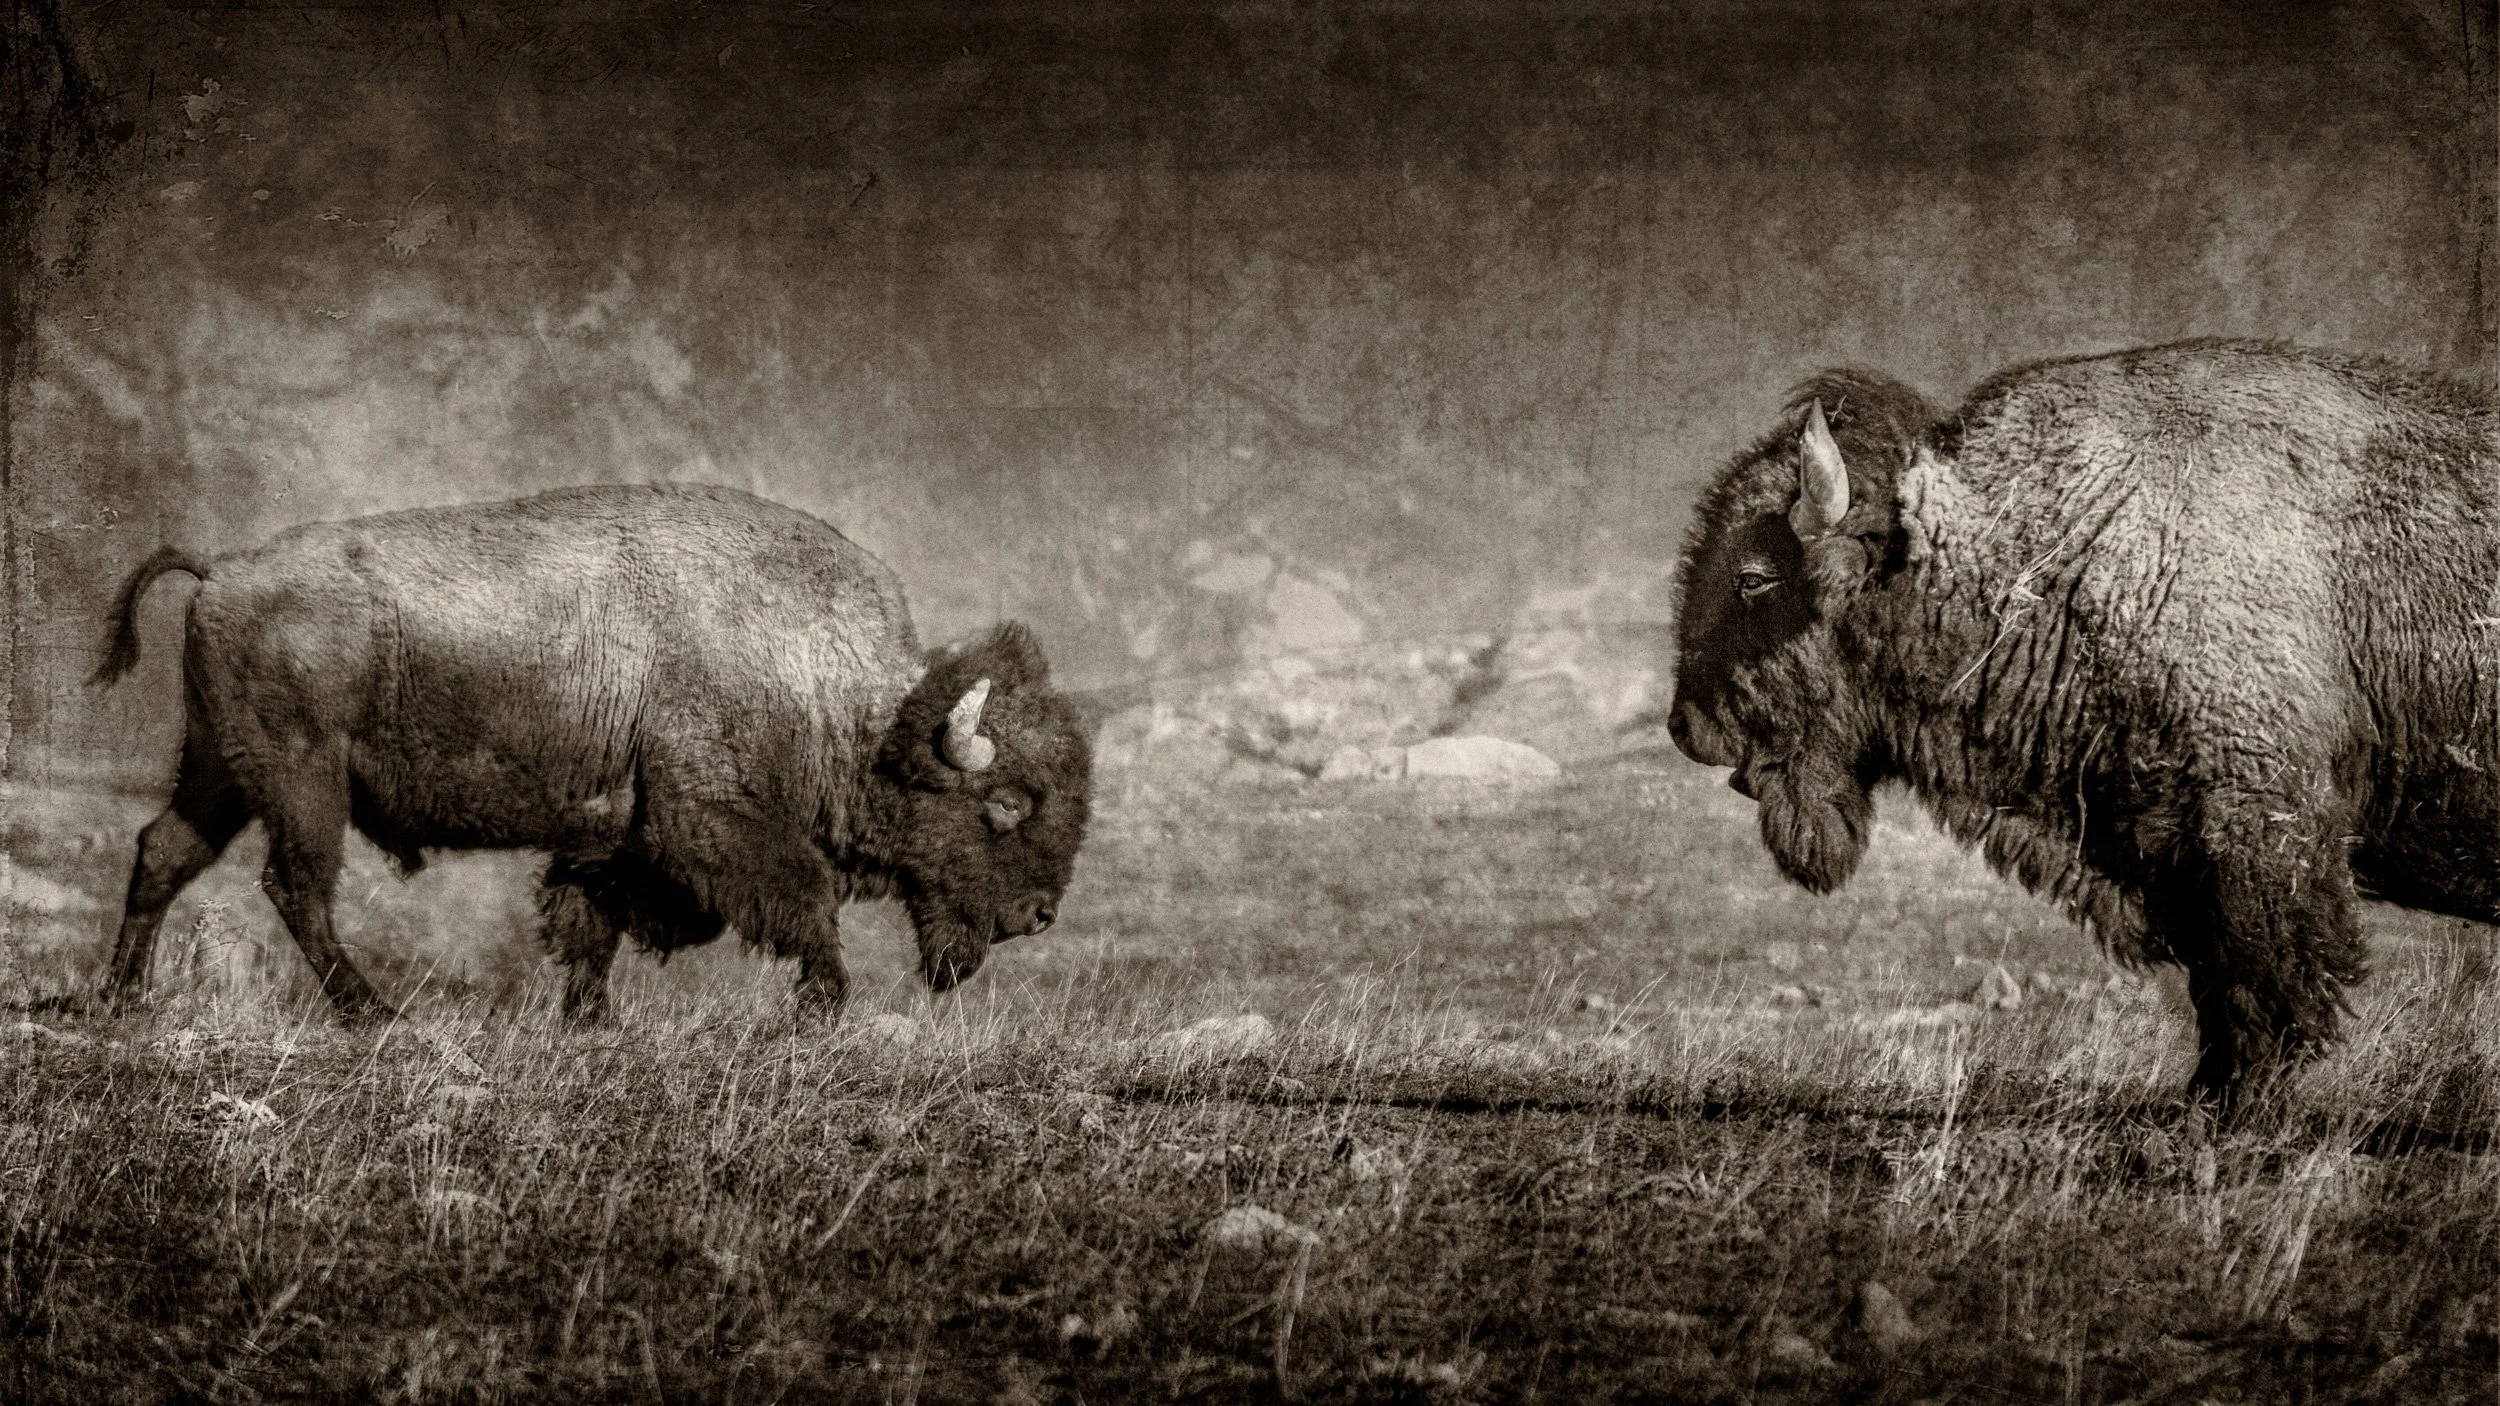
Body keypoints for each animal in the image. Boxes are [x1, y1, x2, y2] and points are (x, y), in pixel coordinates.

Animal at [92, 483, 1093, 1021]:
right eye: (1006, 805)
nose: (1038, 916)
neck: (839, 688)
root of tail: (225, 567)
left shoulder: (614, 837)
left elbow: (590, 922)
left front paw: (591, 1021)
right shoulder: (713, 820)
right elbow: (800, 902)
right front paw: (821, 1002)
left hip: (221, 767)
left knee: (165, 849)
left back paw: (123, 997)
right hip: (303, 780)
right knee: (294, 884)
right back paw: (372, 1015)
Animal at [1669, 339, 2497, 1114]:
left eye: (1752, 578)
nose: (1686, 727)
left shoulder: (2254, 826)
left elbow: (2258, 977)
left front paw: (2232, 1104)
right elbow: (2216, 978)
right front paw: (2205, 1096)